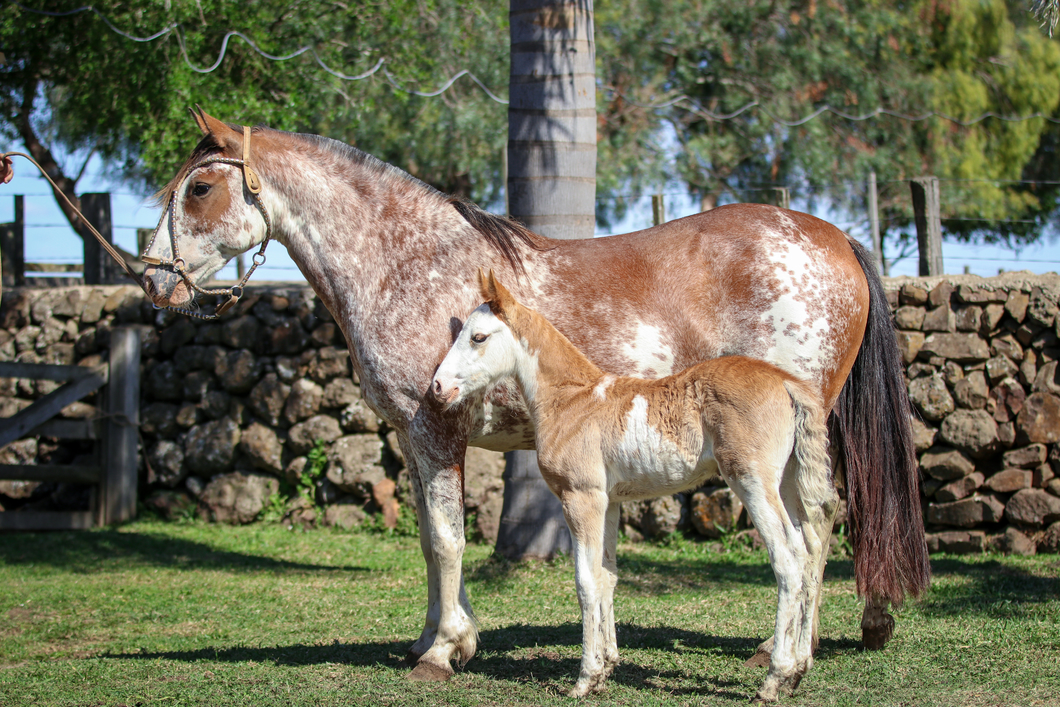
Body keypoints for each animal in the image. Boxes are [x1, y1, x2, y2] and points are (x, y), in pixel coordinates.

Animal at [428, 273, 835, 703]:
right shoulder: (608, 503)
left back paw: (774, 678)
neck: (572, 399)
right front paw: (606, 667)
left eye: (478, 337)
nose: (437, 387)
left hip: (752, 481)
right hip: (788, 482)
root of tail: (788, 383)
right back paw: (798, 670)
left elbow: (586, 581)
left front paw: (585, 678)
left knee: (788, 560)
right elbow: (607, 576)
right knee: (810, 552)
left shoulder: (581, 497)